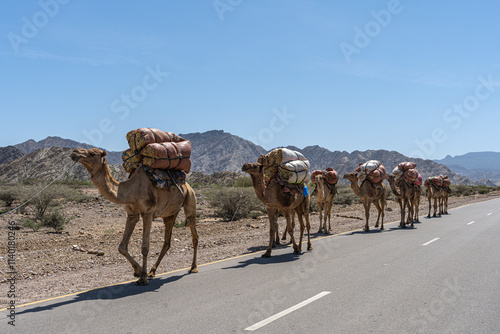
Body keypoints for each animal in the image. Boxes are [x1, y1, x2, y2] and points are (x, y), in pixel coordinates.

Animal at [71, 147, 199, 286]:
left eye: (92, 153)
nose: (75, 152)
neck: (132, 190)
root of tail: (188, 186)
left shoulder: (148, 213)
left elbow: (145, 247)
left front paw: (143, 278)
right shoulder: (132, 214)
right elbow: (122, 247)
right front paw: (139, 271)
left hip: (190, 202)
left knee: (194, 235)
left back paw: (193, 267)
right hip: (170, 214)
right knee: (167, 242)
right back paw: (152, 271)